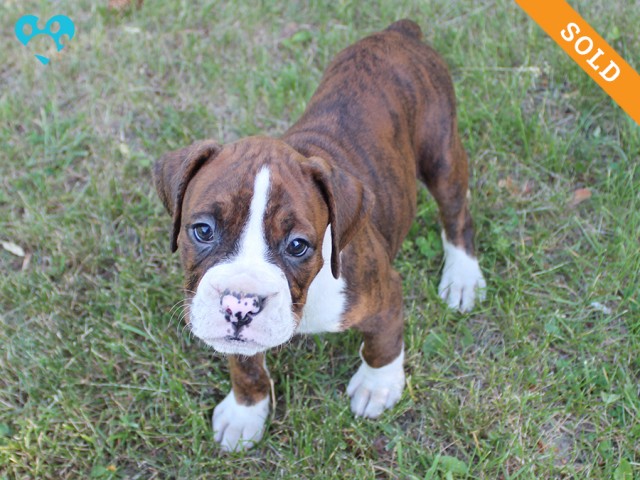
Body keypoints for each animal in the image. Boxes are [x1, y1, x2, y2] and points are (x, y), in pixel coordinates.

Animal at [155, 19, 484, 454]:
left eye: (298, 246)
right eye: (203, 230)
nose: (239, 306)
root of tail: (401, 32)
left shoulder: (383, 294)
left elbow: (383, 343)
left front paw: (378, 387)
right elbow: (245, 365)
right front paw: (245, 412)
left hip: (441, 153)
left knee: (456, 213)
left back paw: (462, 278)